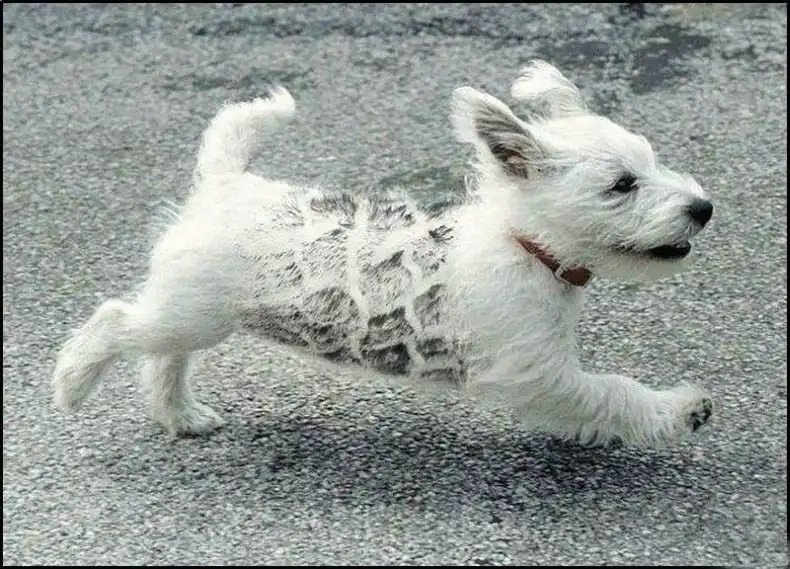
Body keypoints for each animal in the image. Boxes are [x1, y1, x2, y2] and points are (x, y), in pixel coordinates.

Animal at [52, 61, 714, 447]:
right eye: (622, 184)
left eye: (653, 162)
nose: (703, 208)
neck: (521, 243)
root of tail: (225, 182)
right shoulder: (538, 376)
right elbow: (613, 393)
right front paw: (681, 411)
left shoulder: (545, 370)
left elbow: (603, 396)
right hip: (191, 310)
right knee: (115, 321)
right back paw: (71, 385)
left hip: (194, 313)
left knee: (164, 356)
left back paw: (181, 415)